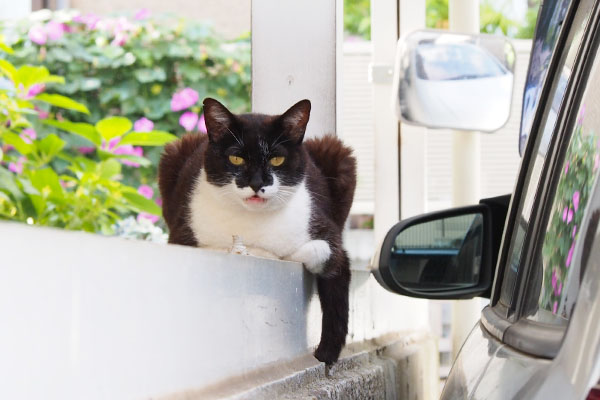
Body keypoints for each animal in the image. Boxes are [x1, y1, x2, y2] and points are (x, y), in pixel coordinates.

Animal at [158, 98, 356, 364]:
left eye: (276, 160)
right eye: (236, 159)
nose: (256, 183)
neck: (252, 223)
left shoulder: (326, 233)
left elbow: (331, 272)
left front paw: (325, 354)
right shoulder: (181, 234)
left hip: (340, 155)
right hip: (172, 153)